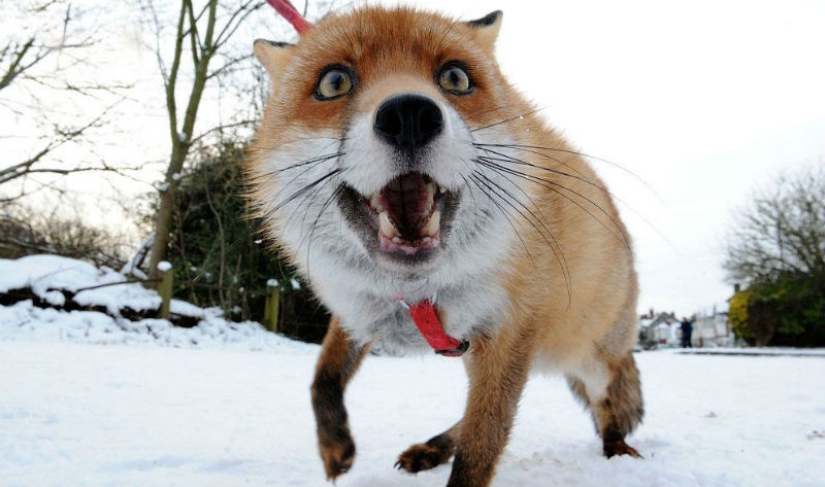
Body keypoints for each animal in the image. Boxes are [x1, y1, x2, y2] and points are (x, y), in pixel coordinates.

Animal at [248, 4, 643, 486]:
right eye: (334, 81)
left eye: (455, 78)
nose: (409, 115)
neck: (417, 293)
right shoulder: (359, 311)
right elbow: (322, 376)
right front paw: (334, 447)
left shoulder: (507, 334)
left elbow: (481, 444)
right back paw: (432, 449)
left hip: (591, 360)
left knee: (605, 405)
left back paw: (617, 448)